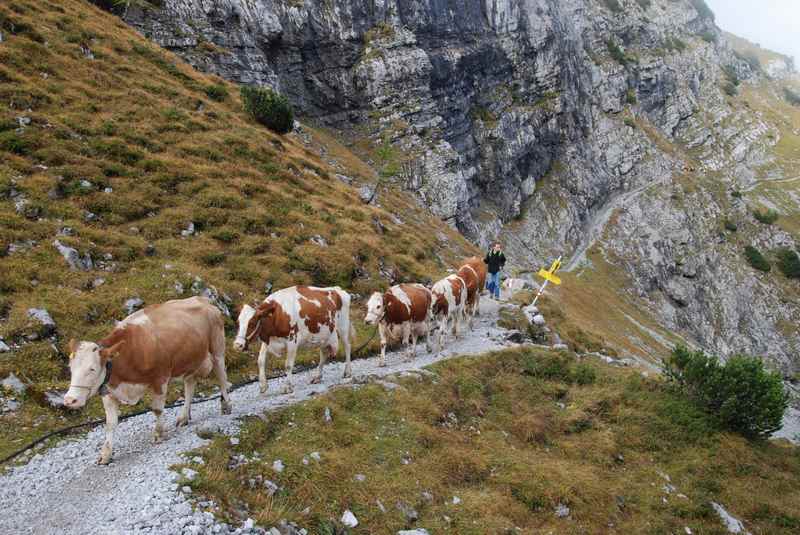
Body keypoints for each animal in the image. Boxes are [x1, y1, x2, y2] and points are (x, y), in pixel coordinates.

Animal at [63, 298, 231, 464]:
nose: (70, 400)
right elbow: (110, 423)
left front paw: (158, 434)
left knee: (222, 376)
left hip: (217, 349)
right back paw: (184, 417)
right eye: (70, 367)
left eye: (92, 369)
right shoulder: (108, 390)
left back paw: (226, 406)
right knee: (190, 385)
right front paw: (105, 454)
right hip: (190, 360)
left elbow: (157, 409)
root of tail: (203, 300)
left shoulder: (160, 379)